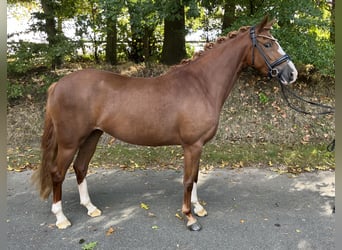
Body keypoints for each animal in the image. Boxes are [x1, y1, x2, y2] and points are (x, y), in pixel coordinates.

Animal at [33, 16, 298, 231]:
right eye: (268, 44)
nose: (292, 74)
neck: (201, 85)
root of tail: (58, 85)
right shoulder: (192, 145)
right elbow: (188, 180)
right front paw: (190, 218)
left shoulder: (197, 146)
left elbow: (196, 177)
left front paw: (198, 208)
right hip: (69, 142)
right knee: (57, 172)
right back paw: (61, 218)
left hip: (92, 136)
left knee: (80, 168)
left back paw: (90, 208)